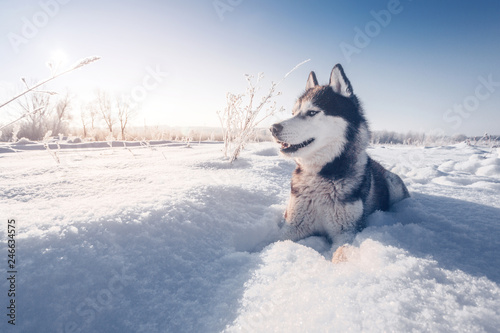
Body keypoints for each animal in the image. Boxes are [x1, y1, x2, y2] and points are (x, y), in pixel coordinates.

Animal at [272, 64, 408, 241]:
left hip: (393, 183)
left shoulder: (346, 232)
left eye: (312, 112)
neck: (322, 174)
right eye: (293, 113)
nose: (273, 128)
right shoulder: (293, 225)